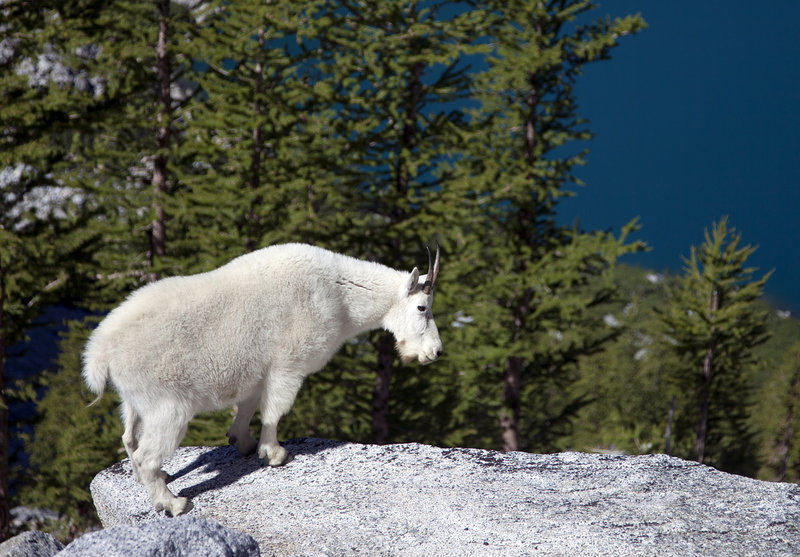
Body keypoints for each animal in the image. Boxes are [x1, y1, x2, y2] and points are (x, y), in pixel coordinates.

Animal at [82, 243, 443, 516]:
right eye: (422, 307)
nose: (435, 352)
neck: (340, 296)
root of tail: (100, 353)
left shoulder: (256, 372)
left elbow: (248, 407)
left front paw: (244, 443)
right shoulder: (289, 364)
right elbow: (275, 409)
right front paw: (275, 454)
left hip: (134, 399)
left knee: (129, 438)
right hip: (167, 405)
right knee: (147, 454)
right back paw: (173, 503)